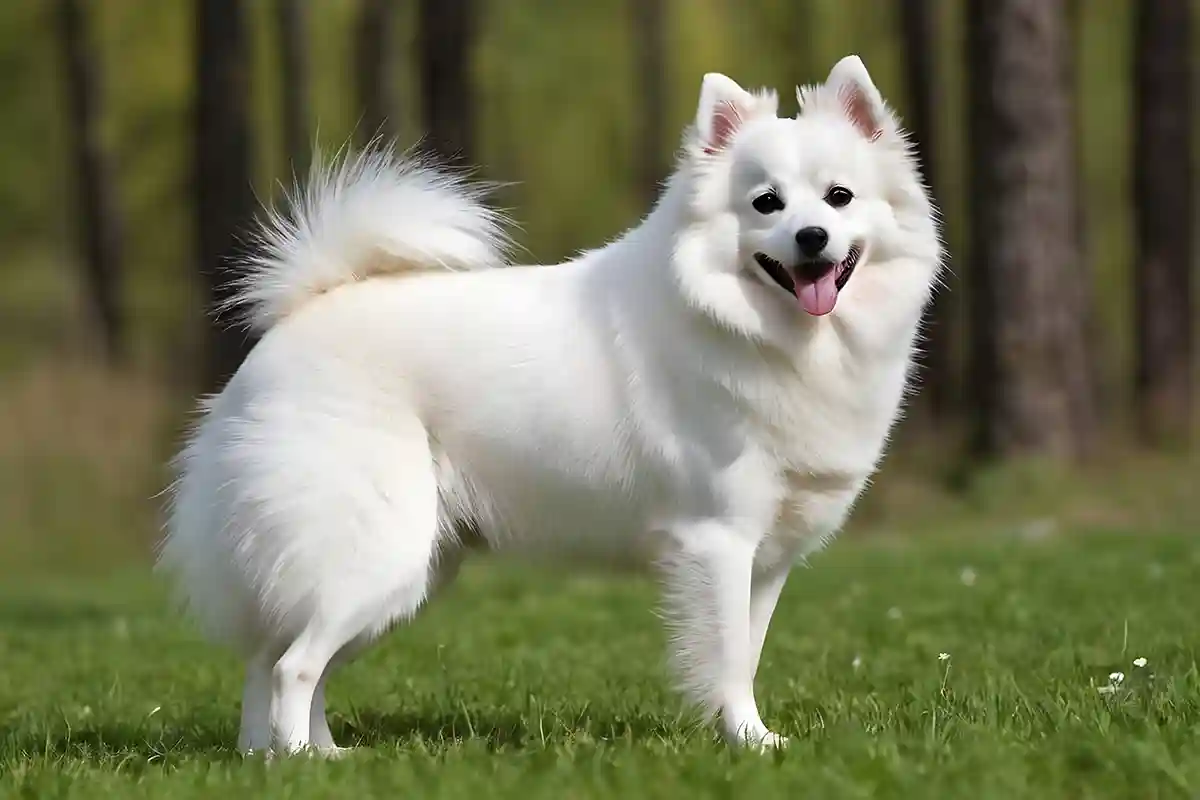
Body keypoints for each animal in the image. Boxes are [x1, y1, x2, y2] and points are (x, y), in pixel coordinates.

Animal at [159, 56, 940, 758]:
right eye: (766, 203)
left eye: (839, 197)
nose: (812, 238)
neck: (772, 335)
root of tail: (294, 319)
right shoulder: (717, 540)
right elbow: (725, 660)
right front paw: (750, 743)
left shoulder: (766, 559)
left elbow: (744, 654)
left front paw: (745, 737)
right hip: (376, 555)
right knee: (293, 665)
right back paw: (300, 761)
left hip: (407, 573)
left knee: (274, 660)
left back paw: (294, 756)